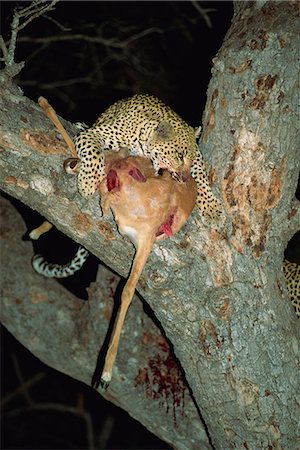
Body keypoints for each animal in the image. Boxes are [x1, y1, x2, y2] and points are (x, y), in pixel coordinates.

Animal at [72, 93, 223, 220]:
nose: (185, 178)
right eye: (180, 156)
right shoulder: (94, 133)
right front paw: (87, 183)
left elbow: (200, 176)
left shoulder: (197, 155)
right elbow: (94, 155)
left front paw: (212, 207)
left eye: (191, 160)